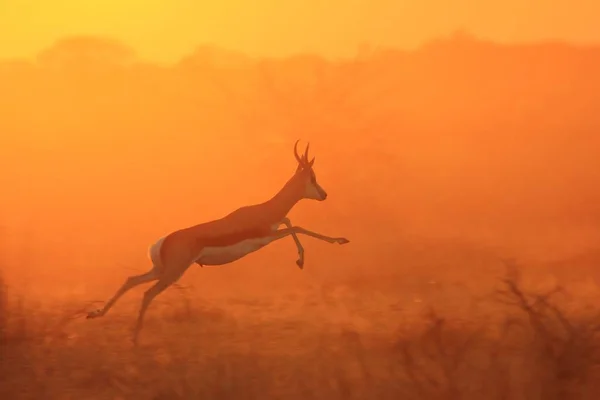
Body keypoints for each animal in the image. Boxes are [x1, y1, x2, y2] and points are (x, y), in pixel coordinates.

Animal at [89, 139, 352, 342]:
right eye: (313, 177)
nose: (324, 195)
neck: (266, 209)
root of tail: (161, 243)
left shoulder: (273, 229)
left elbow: (289, 221)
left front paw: (303, 258)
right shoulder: (265, 238)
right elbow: (296, 225)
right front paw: (335, 242)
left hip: (160, 269)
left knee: (131, 280)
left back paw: (96, 314)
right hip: (173, 272)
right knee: (147, 293)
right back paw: (134, 339)